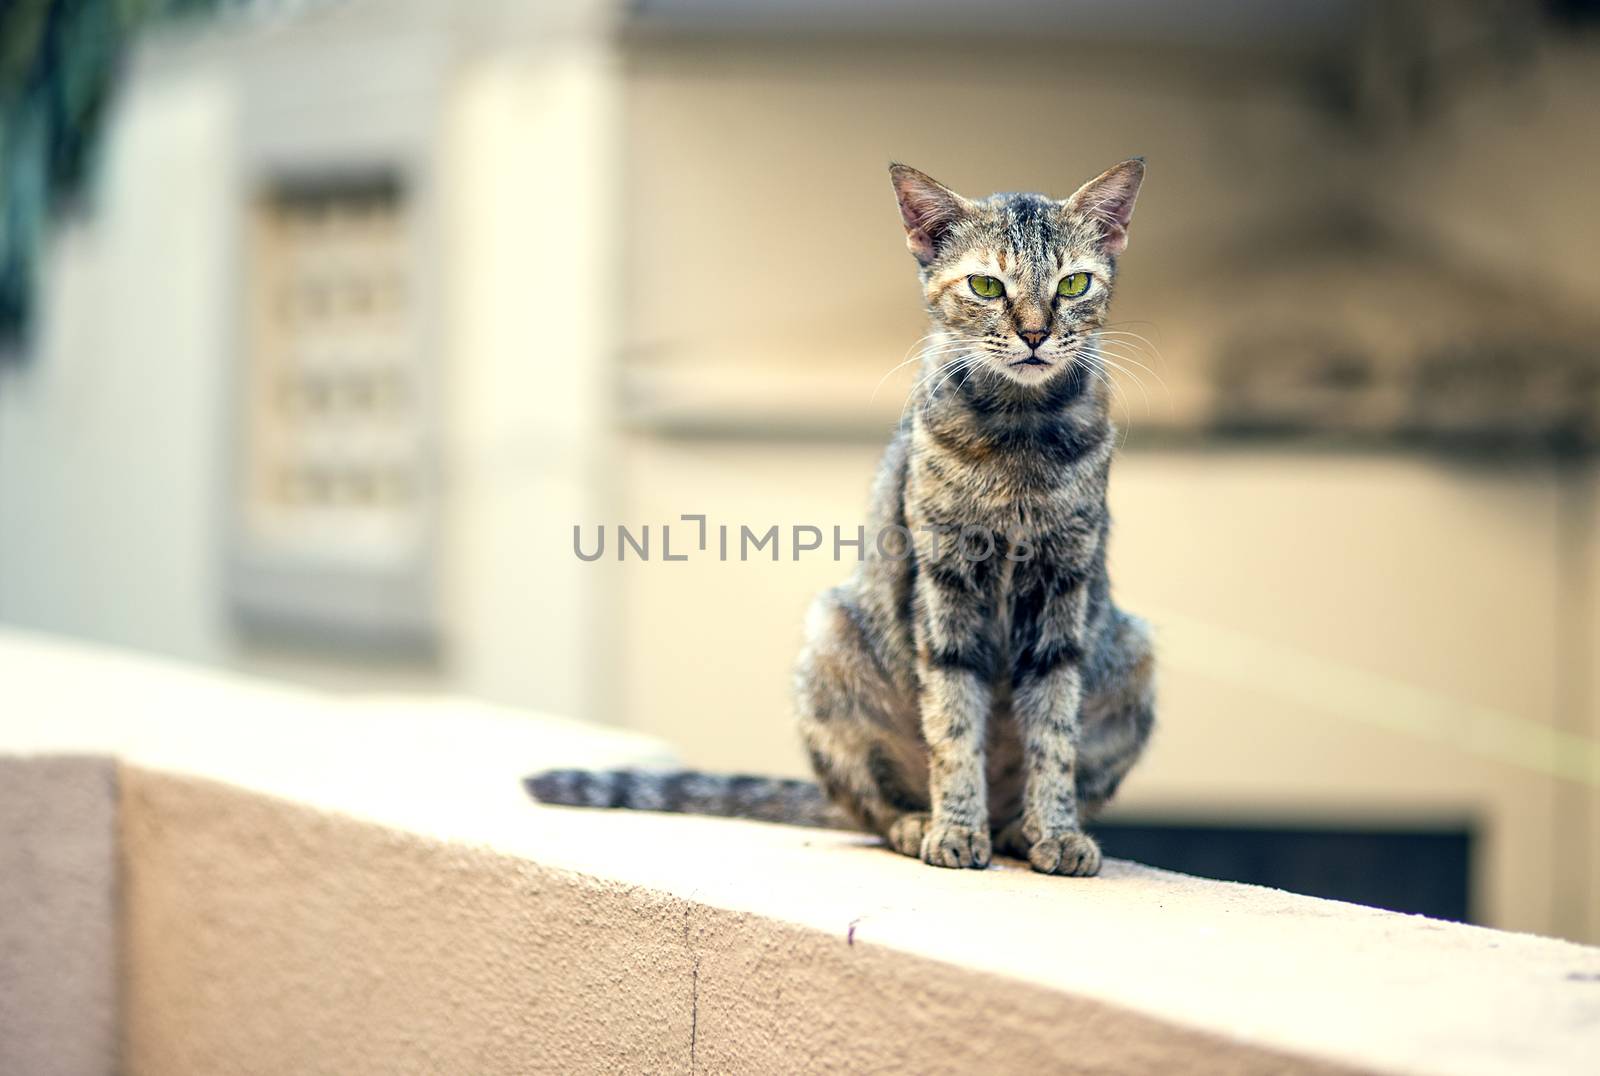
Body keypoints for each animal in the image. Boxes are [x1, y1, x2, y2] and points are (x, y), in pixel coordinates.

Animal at [531, 164, 1158, 877]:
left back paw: (1018, 831)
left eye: (1074, 284)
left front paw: (1055, 830)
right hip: (829, 638)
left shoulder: (1062, 587)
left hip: (1134, 651)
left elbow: (1053, 734)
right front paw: (954, 826)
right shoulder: (943, 583)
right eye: (986, 286)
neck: (1019, 439)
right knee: (873, 807)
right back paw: (922, 822)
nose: (1033, 334)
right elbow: (953, 725)